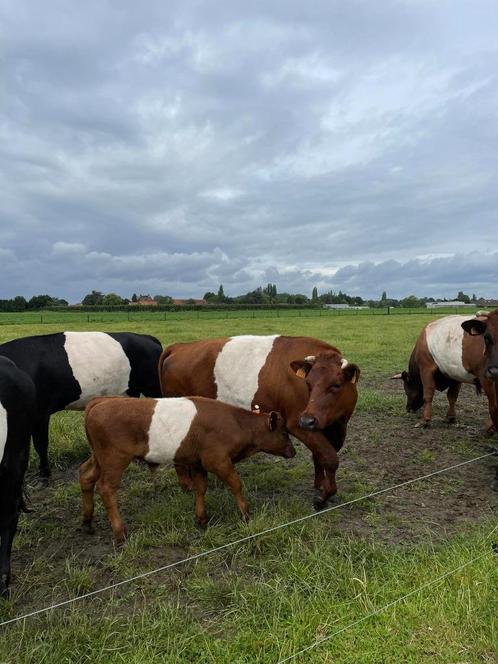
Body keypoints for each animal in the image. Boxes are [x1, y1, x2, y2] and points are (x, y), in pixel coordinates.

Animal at [0, 330, 161, 478]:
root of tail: (145, 337)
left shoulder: (40, 413)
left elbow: (41, 444)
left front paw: (45, 474)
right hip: (132, 391)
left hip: (153, 386)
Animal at [79, 394, 294, 540]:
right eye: (284, 432)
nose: (293, 451)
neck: (236, 424)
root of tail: (100, 401)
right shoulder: (219, 461)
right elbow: (235, 484)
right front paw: (246, 514)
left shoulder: (198, 464)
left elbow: (200, 488)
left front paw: (202, 518)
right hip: (114, 460)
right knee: (106, 488)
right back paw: (119, 531)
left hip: (98, 458)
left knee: (86, 476)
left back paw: (87, 521)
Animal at [158, 338, 360, 508]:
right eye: (308, 384)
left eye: (336, 385)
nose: (307, 420)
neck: (336, 424)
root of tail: (179, 346)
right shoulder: (297, 423)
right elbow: (331, 458)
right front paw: (323, 496)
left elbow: (319, 457)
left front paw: (319, 486)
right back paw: (186, 484)